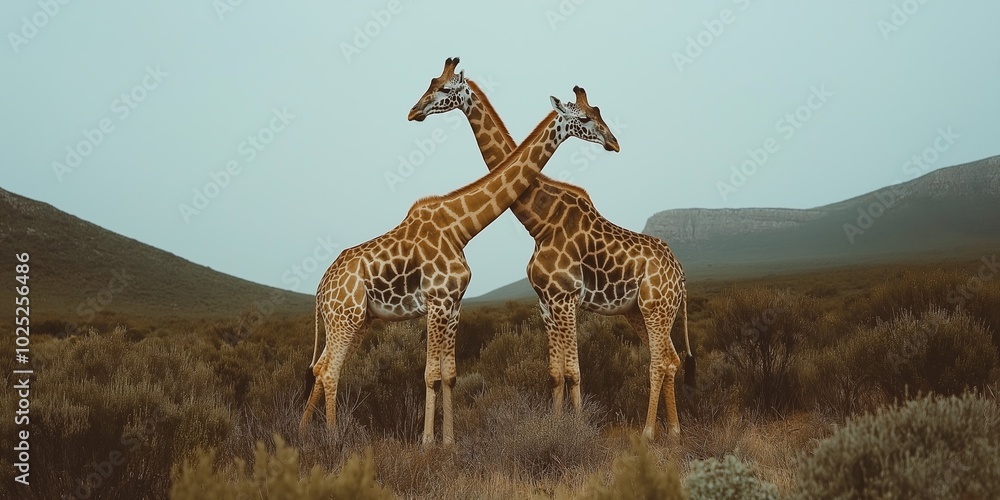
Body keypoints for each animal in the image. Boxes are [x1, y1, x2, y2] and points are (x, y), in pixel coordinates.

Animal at [301, 79, 619, 446]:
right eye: (584, 118)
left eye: (596, 113)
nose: (613, 142)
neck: (460, 227)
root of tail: (321, 288)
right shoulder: (436, 301)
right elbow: (429, 374)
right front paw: (427, 443)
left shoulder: (453, 304)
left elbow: (448, 374)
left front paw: (449, 441)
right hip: (345, 319)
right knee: (330, 370)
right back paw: (332, 438)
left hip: (356, 319)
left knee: (321, 367)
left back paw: (302, 431)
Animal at [408, 57, 693, 439]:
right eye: (432, 84)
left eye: (443, 88)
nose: (613, 142)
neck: (539, 221)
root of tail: (681, 275)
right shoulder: (545, 301)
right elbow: (557, 372)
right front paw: (557, 426)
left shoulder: (566, 297)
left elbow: (574, 371)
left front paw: (580, 430)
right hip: (640, 310)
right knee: (670, 359)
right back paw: (674, 431)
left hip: (656, 308)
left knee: (659, 361)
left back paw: (649, 433)